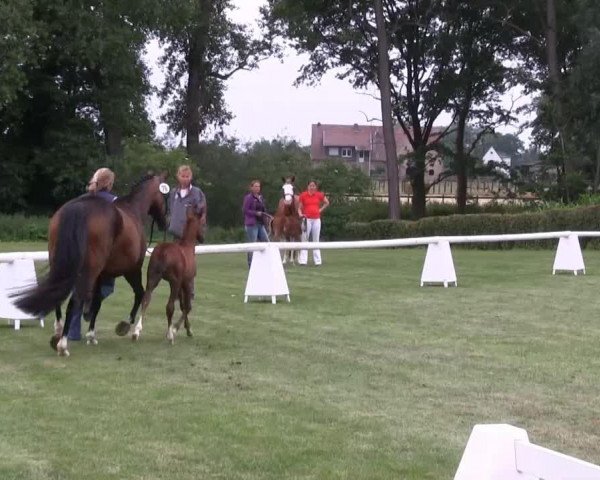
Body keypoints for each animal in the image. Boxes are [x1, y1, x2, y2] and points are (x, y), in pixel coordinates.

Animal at [14, 172, 169, 356]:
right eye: (166, 195)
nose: (166, 222)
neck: (133, 210)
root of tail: (79, 209)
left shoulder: (101, 275)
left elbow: (97, 301)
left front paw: (91, 334)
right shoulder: (132, 269)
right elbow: (139, 293)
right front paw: (124, 326)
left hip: (62, 266)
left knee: (58, 296)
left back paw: (58, 332)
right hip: (90, 271)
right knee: (74, 301)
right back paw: (63, 345)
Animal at [132, 204, 205, 344]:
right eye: (203, 223)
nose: (203, 238)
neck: (187, 247)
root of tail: (163, 252)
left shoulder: (181, 283)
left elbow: (182, 306)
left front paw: (188, 329)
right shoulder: (186, 282)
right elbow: (187, 306)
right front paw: (177, 329)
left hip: (152, 278)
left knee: (146, 300)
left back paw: (136, 331)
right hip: (173, 282)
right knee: (169, 307)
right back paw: (170, 334)